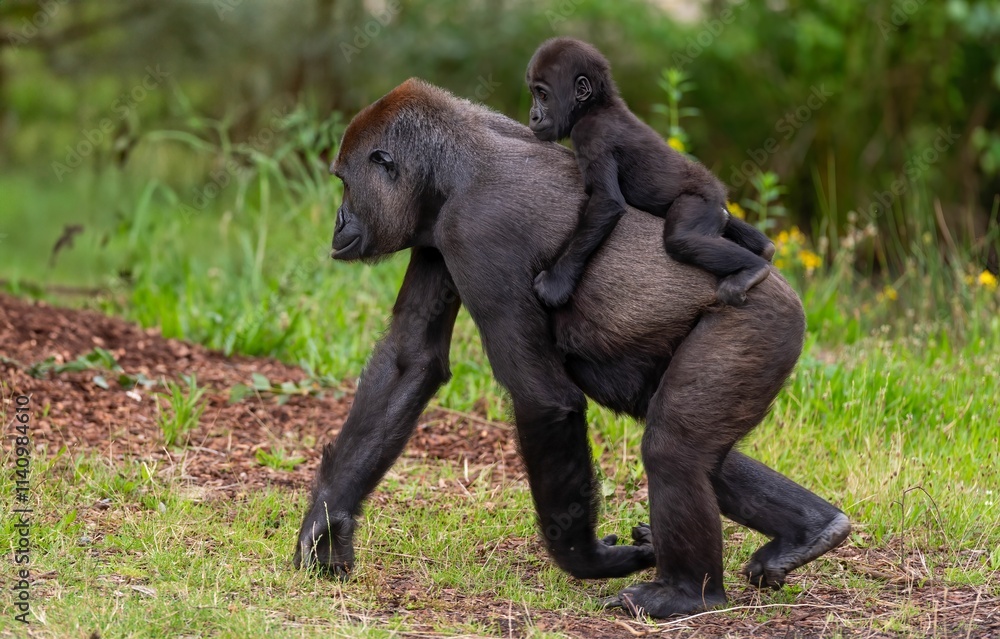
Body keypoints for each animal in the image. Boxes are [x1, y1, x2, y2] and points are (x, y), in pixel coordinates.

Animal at [294, 78, 850, 618]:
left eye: (346, 183)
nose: (338, 220)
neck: (456, 164)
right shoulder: (434, 232)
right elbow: (410, 360)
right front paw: (327, 525)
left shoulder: (474, 232)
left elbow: (543, 400)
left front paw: (589, 559)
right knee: (697, 448)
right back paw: (811, 529)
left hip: (760, 323)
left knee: (674, 446)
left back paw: (687, 593)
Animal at [526, 37, 775, 308]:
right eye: (534, 95)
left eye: (543, 95)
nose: (533, 115)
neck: (595, 106)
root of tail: (718, 195)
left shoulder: (591, 134)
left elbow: (606, 202)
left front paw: (556, 283)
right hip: (719, 212)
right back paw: (764, 249)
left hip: (702, 201)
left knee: (681, 239)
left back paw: (753, 270)